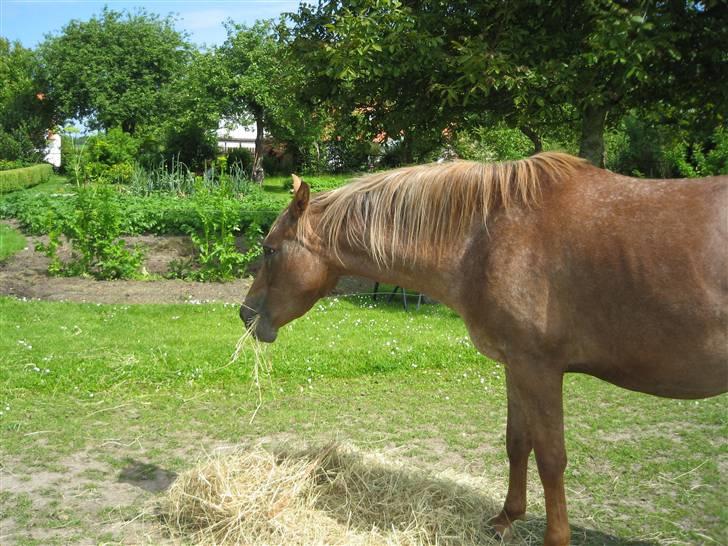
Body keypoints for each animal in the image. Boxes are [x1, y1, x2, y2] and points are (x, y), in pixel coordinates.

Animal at [242, 152, 724, 544]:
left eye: (269, 250)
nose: (246, 315)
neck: (488, 239)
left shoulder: (539, 369)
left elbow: (551, 458)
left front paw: (554, 537)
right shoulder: (516, 366)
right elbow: (517, 442)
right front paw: (507, 518)